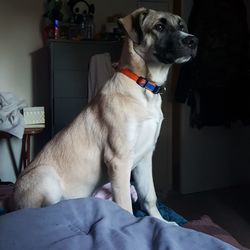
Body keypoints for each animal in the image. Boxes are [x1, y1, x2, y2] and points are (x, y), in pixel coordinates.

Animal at [13, 8, 197, 222]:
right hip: (46, 176)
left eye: (181, 26)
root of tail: (9, 202)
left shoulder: (145, 157)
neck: (143, 85)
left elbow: (149, 196)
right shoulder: (118, 159)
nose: (193, 41)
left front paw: (161, 221)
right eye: (159, 27)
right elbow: (126, 206)